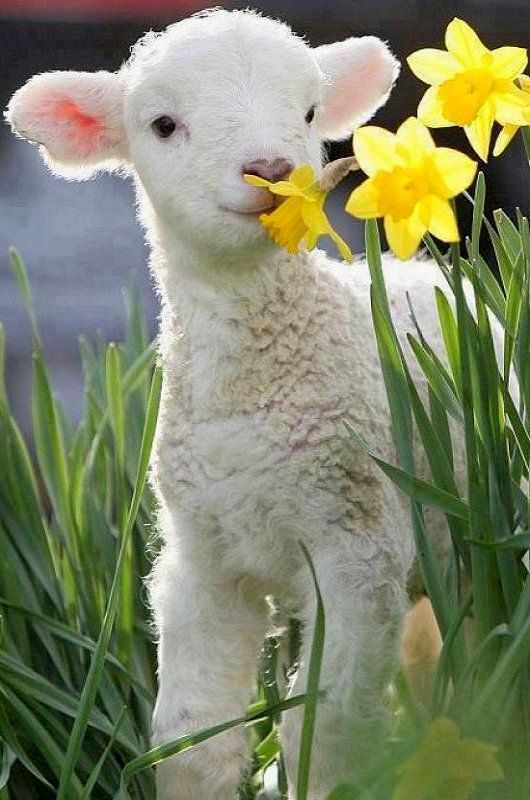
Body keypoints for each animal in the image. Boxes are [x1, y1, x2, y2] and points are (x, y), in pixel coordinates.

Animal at [7, 7, 458, 800]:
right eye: (162, 125)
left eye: (308, 113)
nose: (273, 171)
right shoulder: (202, 559)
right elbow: (191, 740)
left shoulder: (359, 546)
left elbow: (326, 734)